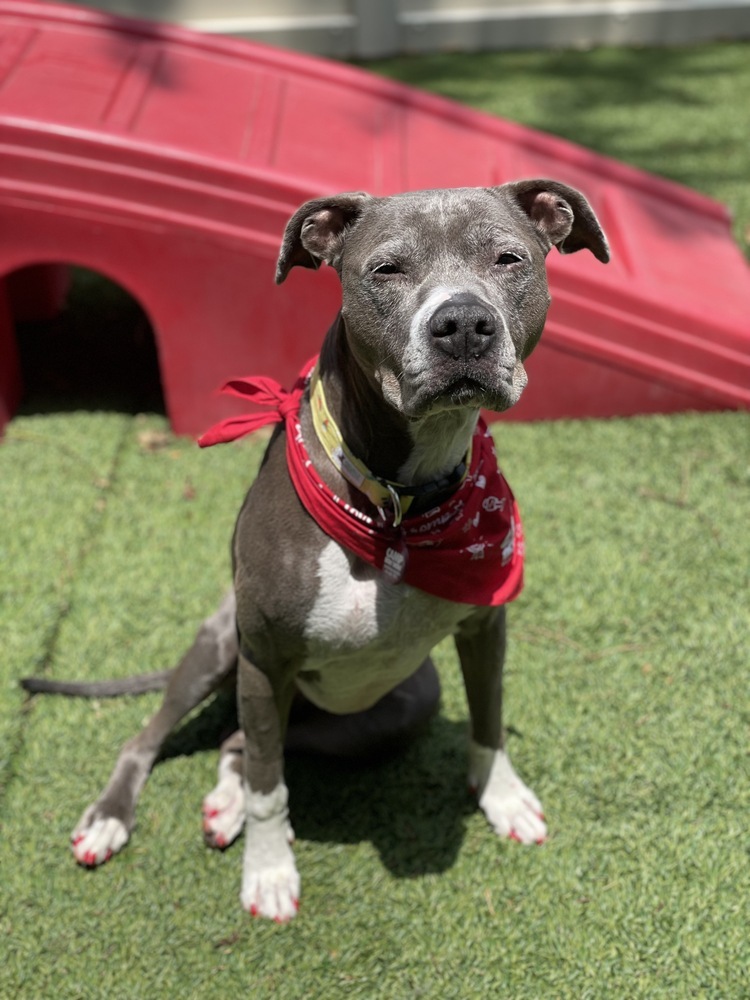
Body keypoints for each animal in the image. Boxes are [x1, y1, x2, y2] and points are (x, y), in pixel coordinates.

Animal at [23, 182, 612, 920]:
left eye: (509, 259)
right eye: (386, 269)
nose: (463, 323)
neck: (398, 510)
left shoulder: (485, 623)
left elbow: (489, 713)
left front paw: (501, 795)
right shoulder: (264, 658)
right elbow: (270, 788)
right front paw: (270, 871)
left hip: (393, 709)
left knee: (240, 743)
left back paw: (222, 803)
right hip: (223, 647)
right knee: (164, 741)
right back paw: (114, 818)